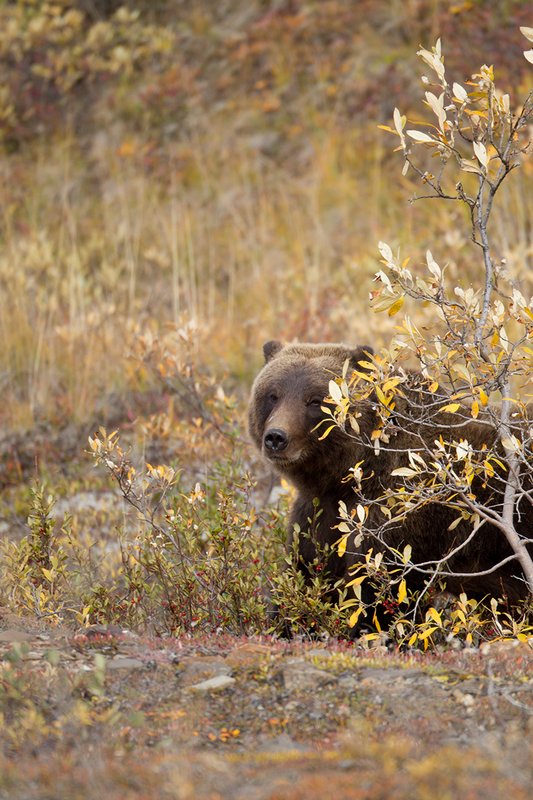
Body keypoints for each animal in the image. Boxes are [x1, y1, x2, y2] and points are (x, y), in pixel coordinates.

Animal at [248, 340, 532, 610]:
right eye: (272, 395)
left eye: (315, 400)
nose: (276, 437)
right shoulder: (320, 514)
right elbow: (307, 573)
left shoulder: (396, 518)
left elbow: (376, 589)